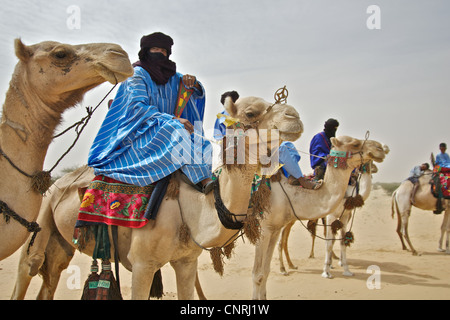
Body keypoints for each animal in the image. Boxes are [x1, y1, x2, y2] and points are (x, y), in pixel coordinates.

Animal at [11, 94, 306, 298]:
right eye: (251, 112)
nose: (294, 116)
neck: (191, 211)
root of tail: (56, 182)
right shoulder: (142, 265)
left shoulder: (186, 262)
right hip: (42, 212)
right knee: (29, 265)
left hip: (62, 242)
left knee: (52, 275)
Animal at [251, 136, 388, 300]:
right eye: (355, 143)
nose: (380, 148)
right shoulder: (264, 229)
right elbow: (258, 275)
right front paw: (327, 272)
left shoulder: (274, 229)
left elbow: (265, 272)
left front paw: (346, 270)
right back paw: (285, 268)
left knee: (283, 242)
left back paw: (290, 266)